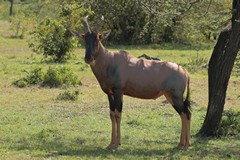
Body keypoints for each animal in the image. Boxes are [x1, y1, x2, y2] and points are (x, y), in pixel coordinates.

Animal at [75, 16, 191, 150]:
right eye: (85, 39)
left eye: (97, 39)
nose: (88, 58)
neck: (111, 60)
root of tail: (183, 69)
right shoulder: (110, 94)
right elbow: (111, 115)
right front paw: (110, 144)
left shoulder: (118, 92)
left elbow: (118, 114)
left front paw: (116, 144)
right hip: (169, 96)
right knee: (183, 114)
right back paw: (180, 144)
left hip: (176, 96)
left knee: (186, 114)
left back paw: (186, 145)